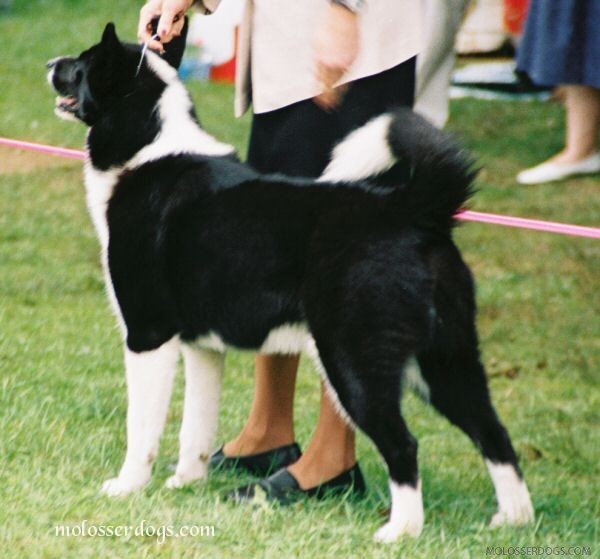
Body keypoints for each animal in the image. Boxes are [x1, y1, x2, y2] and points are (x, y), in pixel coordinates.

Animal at [48, 24, 536, 544]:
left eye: (82, 65)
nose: (50, 64)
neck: (147, 148)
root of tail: (412, 209)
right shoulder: (203, 347)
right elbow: (196, 426)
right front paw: (186, 483)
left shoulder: (148, 336)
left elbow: (141, 428)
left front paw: (128, 487)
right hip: (447, 360)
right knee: (494, 434)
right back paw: (514, 521)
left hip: (353, 361)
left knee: (404, 444)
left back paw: (400, 531)